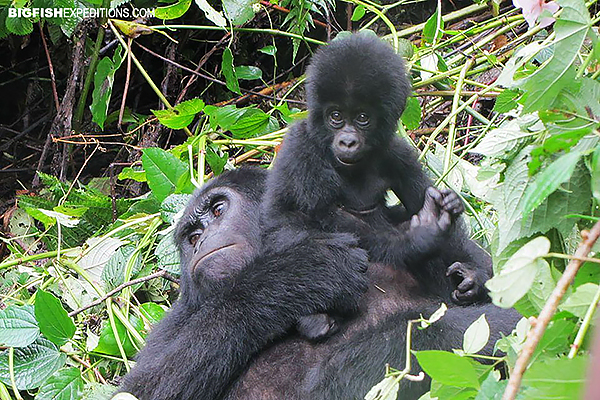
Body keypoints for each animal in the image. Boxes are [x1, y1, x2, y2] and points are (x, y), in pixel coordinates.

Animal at [118, 168, 520, 400]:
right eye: (191, 236)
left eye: (218, 210)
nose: (200, 242)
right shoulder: (176, 320)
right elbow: (142, 392)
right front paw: (299, 274)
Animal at [264, 33, 492, 340]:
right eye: (336, 116)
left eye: (362, 118)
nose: (348, 141)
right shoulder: (301, 145)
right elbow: (316, 218)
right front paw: (418, 239)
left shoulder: (396, 152)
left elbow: (419, 200)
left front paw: (473, 275)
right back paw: (314, 320)